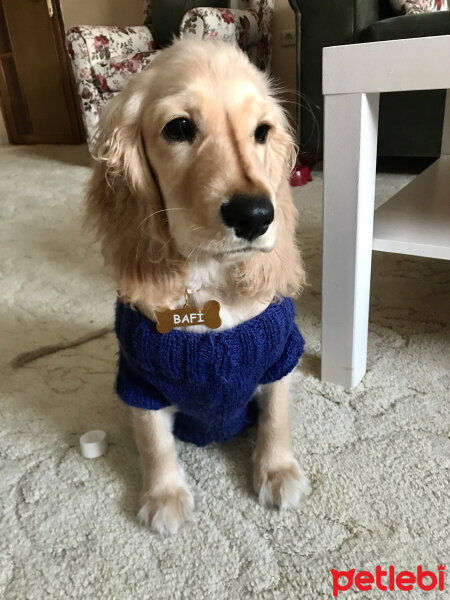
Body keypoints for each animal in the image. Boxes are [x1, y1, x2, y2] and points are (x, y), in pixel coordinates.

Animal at [85, 38, 310, 536]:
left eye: (262, 132)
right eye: (179, 128)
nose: (255, 216)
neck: (210, 287)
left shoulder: (278, 359)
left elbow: (278, 417)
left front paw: (277, 471)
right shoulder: (141, 383)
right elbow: (153, 441)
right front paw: (164, 496)